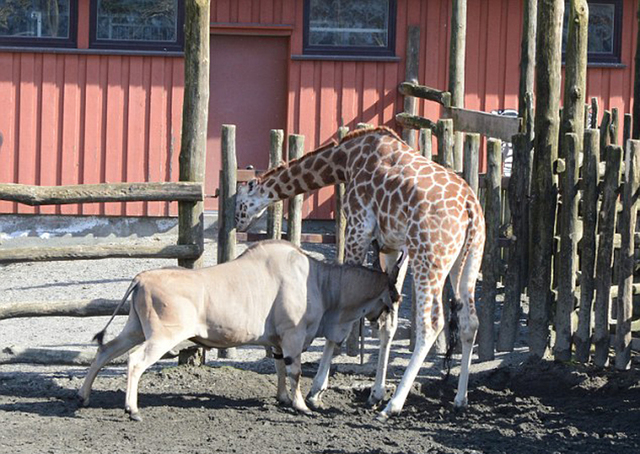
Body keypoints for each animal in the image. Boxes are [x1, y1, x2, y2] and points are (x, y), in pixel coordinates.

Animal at [235, 127, 484, 418]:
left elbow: (343, 313)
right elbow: (388, 322)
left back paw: (393, 405)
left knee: (431, 324)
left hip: (430, 257)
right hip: (467, 260)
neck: (345, 159)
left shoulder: (357, 228)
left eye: (240, 201)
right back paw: (460, 398)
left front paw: (316, 392)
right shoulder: (393, 247)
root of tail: (470, 208)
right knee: (470, 322)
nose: (237, 223)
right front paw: (375, 393)